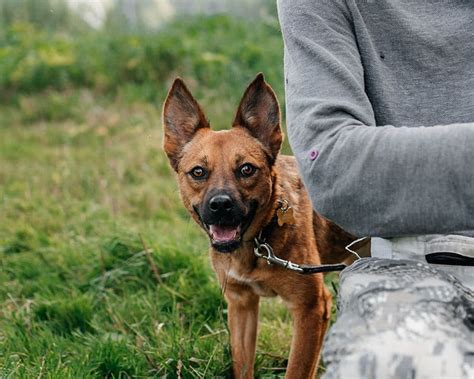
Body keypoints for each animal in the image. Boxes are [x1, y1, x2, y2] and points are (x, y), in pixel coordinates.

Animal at [163, 72, 356, 378]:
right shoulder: (241, 304)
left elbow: (297, 371)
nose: (220, 205)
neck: (257, 244)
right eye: (198, 172)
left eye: (246, 169)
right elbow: (242, 366)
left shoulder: (311, 309)